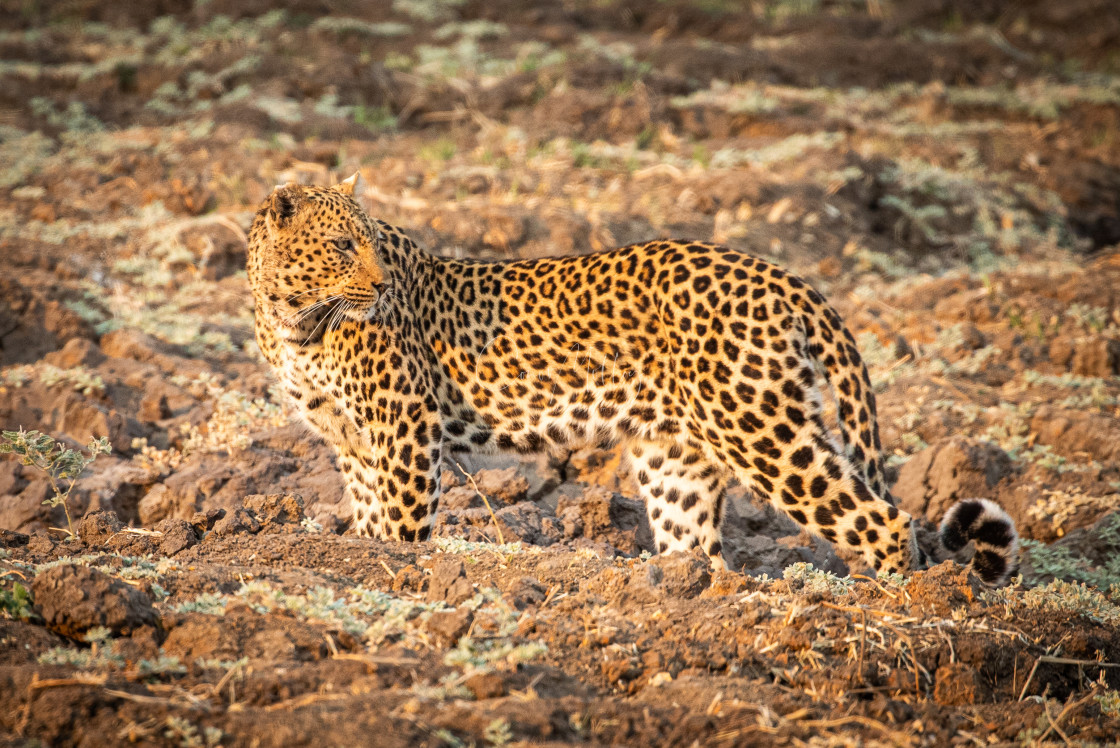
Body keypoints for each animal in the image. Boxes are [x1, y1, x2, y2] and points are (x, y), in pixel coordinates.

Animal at [249, 175, 1021, 582]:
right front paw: (352, 561)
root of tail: (783, 275)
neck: (295, 321)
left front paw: (404, 576)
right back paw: (688, 597)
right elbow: (371, 515)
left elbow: (406, 523)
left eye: (373, 243)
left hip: (764, 431)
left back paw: (889, 602)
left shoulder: (404, 427)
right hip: (676, 457)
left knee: (882, 518)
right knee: (699, 547)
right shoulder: (349, 440)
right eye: (342, 243)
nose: (380, 284)